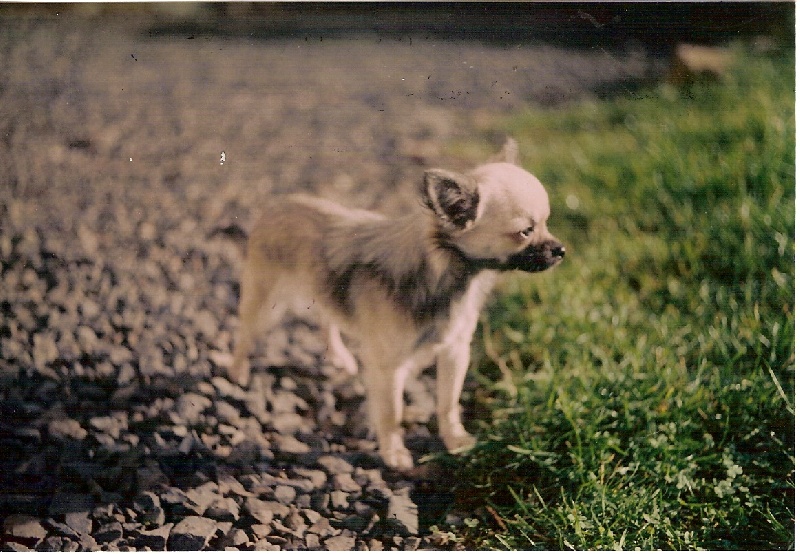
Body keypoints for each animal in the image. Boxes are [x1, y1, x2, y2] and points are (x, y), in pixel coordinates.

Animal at [222, 140, 564, 468]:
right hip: (266, 304)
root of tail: (277, 206)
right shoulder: (388, 368)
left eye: (547, 223)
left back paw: (339, 357)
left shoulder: (455, 351)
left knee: (326, 318)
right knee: (245, 333)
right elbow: (391, 414)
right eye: (525, 232)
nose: (561, 250)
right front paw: (394, 452)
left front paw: (454, 439)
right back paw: (238, 372)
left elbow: (448, 403)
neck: (449, 277)